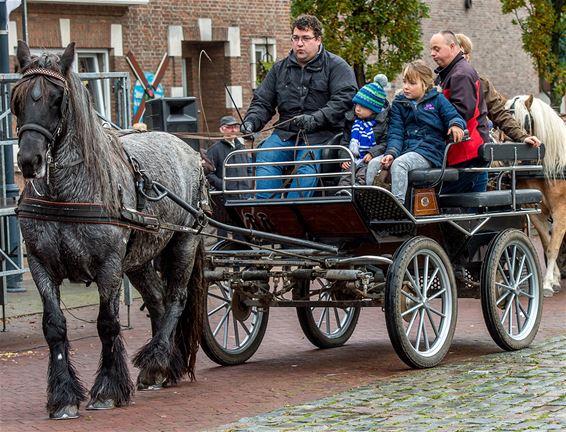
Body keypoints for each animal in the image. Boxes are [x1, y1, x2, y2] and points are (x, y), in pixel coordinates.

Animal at [11, 40, 206, 418]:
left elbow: (107, 324)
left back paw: (156, 358)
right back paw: (161, 368)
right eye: (18, 98)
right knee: (158, 300)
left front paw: (108, 389)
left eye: (57, 98)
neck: (65, 195)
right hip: (142, 258)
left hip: (183, 243)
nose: (29, 161)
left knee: (176, 299)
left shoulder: (109, 266)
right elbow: (54, 327)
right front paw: (63, 397)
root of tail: (189, 149)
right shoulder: (41, 265)